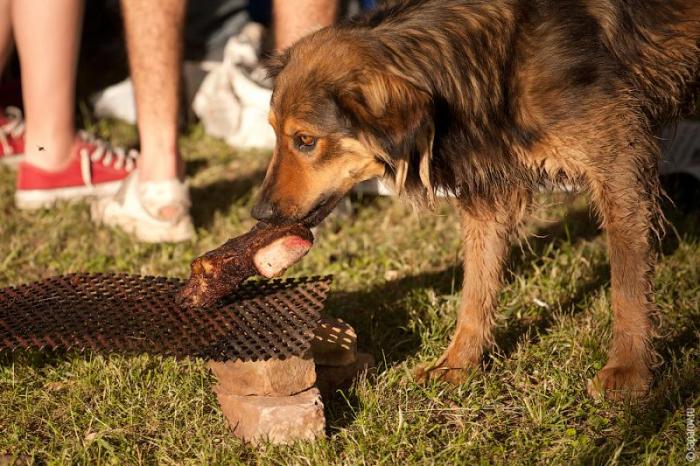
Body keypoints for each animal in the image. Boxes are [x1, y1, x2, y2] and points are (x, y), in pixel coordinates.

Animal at [252, 0, 700, 400]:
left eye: (306, 140)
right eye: (273, 131)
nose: (259, 214)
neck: (491, 60)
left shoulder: (620, 163)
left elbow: (626, 283)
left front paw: (628, 370)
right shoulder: (488, 191)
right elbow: (476, 286)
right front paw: (458, 362)